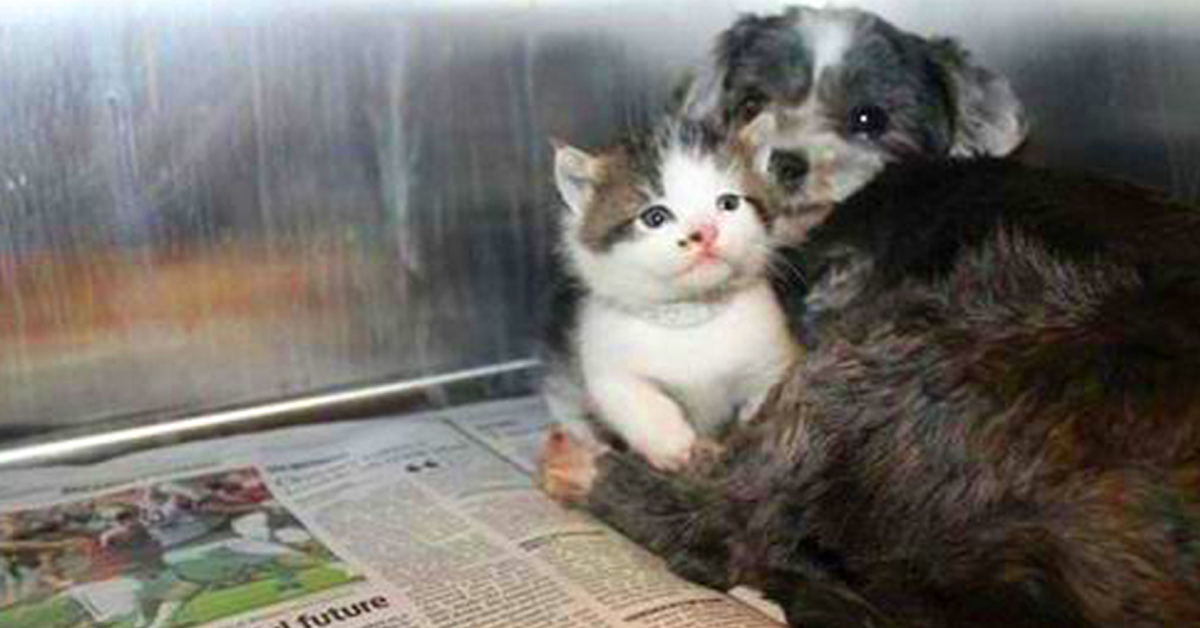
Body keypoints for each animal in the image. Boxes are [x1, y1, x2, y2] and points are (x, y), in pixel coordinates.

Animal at [541, 120, 800, 472]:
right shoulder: (604, 357)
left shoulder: (773, 352)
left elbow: (769, 392)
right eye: (655, 217)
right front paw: (674, 445)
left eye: (729, 203)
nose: (705, 233)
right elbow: (633, 398)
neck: (690, 315)